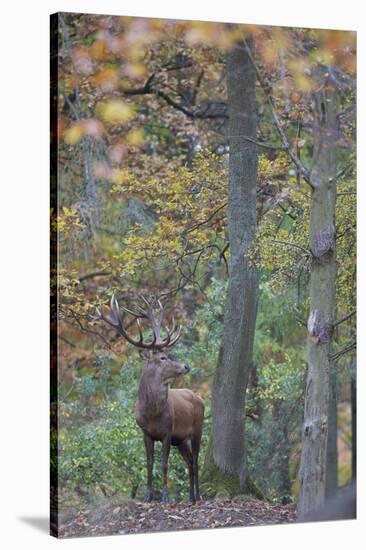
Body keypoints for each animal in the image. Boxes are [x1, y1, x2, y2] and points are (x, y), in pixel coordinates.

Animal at [96, 296, 206, 506]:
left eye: (172, 354)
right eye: (163, 357)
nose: (186, 366)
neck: (152, 413)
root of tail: (199, 398)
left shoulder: (168, 432)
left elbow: (164, 464)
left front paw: (164, 497)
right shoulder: (146, 433)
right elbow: (149, 463)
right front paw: (148, 496)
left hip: (198, 428)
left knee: (196, 461)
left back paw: (197, 496)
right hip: (181, 440)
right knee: (189, 461)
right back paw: (190, 496)